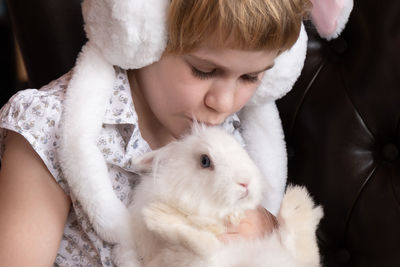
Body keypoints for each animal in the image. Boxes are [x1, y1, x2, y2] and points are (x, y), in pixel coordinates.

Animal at [111, 126, 322, 267]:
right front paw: (159, 214)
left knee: (303, 248)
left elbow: (205, 243)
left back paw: (298, 201)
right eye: (205, 161)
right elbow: (203, 244)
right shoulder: (178, 258)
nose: (246, 182)